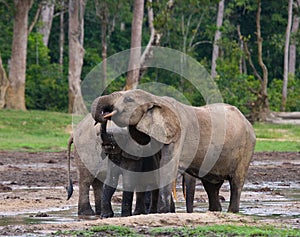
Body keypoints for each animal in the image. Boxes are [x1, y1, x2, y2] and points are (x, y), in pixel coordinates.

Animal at [91, 89, 255, 213]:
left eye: (129, 99)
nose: (105, 114)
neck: (156, 99)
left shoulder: (177, 134)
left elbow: (167, 166)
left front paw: (162, 212)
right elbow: (157, 166)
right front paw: (159, 212)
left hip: (246, 148)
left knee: (236, 183)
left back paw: (232, 211)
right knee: (211, 186)